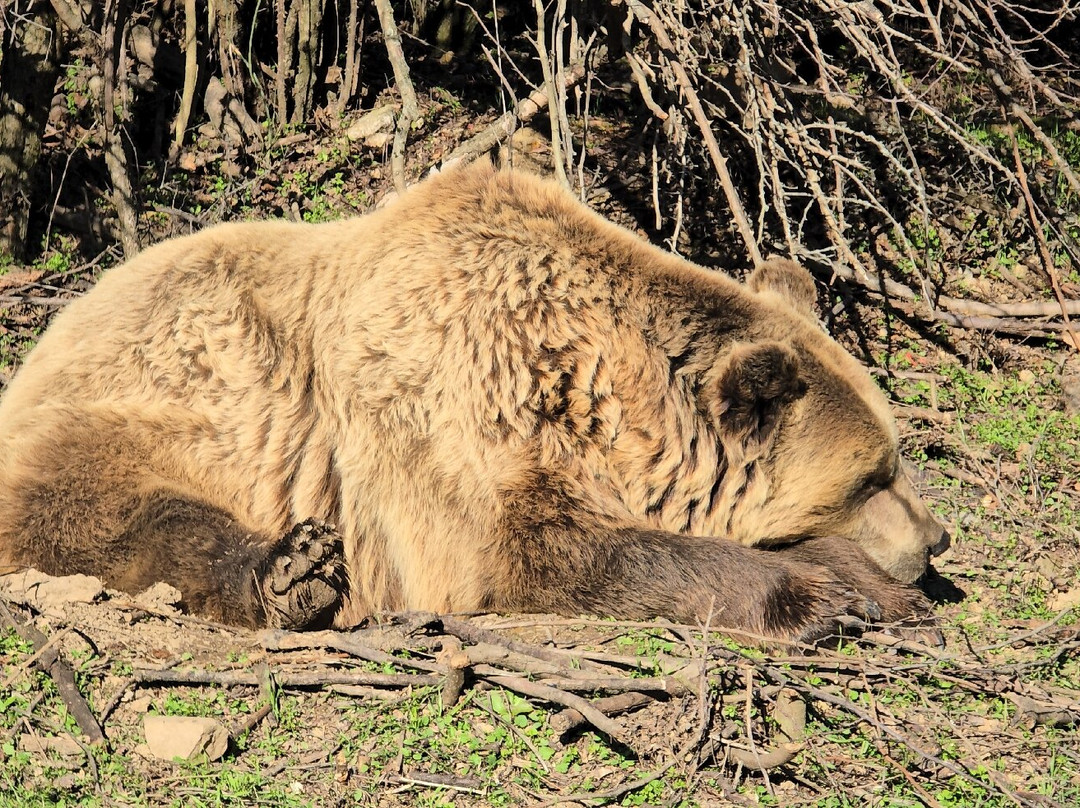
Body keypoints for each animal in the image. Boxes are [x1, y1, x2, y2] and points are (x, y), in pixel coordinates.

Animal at [0, 161, 950, 643]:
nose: (936, 538)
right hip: (131, 419)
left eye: (892, 459)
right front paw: (819, 600)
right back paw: (293, 577)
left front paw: (881, 594)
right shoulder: (459, 419)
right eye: (870, 477)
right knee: (134, 517)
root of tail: (51, 332)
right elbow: (533, 554)